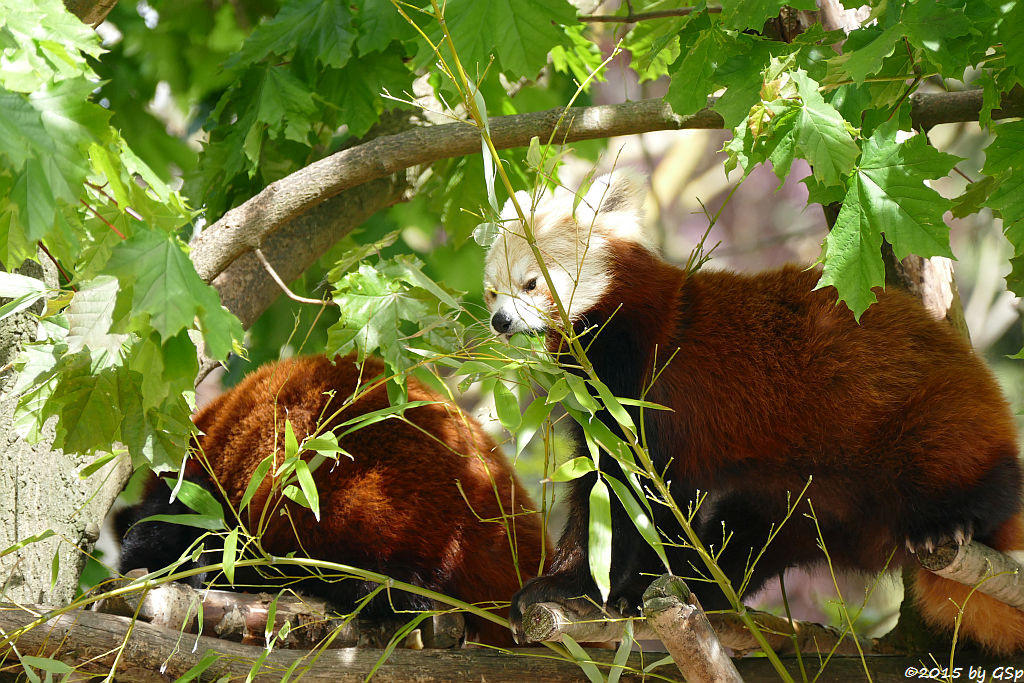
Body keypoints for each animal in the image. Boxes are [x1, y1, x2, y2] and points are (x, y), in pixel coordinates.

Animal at [483, 174, 1024, 655]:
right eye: (492, 290)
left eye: (531, 284)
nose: (499, 320)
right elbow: (616, 491)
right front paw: (591, 587)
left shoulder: (644, 390)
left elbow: (634, 497)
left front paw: (600, 590)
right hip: (808, 503)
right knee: (750, 532)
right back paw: (709, 586)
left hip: (928, 421)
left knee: (966, 468)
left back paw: (947, 521)